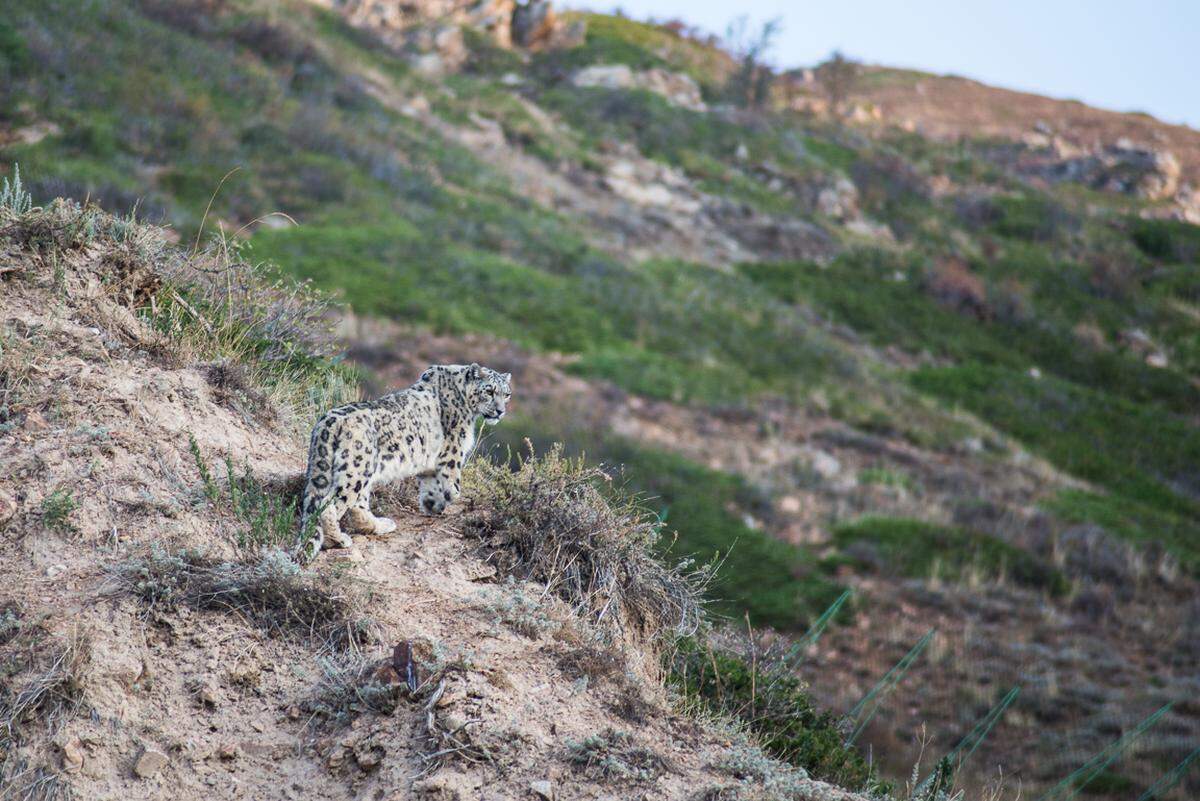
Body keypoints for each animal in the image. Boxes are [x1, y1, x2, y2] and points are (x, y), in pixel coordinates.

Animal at [298, 362, 511, 563]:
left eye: (507, 394)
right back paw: (337, 539)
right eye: (489, 391)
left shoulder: (429, 463)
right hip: (356, 470)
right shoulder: (453, 453)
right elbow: (453, 488)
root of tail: (327, 422)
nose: (500, 411)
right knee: (329, 504)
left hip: (359, 471)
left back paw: (380, 525)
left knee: (355, 505)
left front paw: (432, 505)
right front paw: (452, 501)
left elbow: (430, 486)